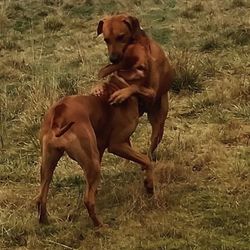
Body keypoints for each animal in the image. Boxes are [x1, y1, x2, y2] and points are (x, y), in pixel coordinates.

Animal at [96, 13, 175, 157]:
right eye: (106, 40)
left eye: (121, 37)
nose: (113, 59)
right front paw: (99, 86)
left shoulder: (152, 92)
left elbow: (136, 87)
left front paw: (121, 94)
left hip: (158, 123)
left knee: (153, 143)